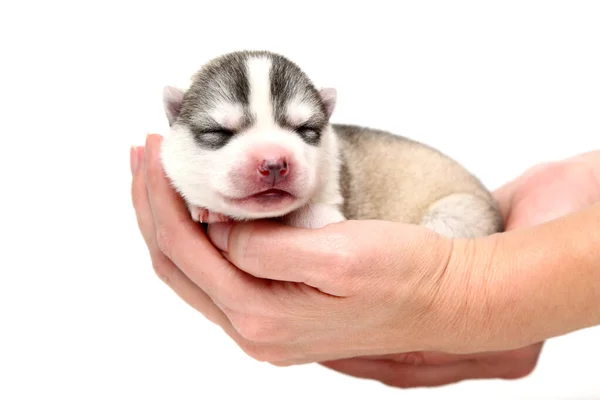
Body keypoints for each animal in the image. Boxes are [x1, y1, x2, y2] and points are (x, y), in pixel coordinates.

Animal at [159, 51, 502, 236]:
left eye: (305, 129)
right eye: (219, 132)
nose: (273, 163)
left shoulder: (330, 211)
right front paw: (202, 206)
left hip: (458, 215)